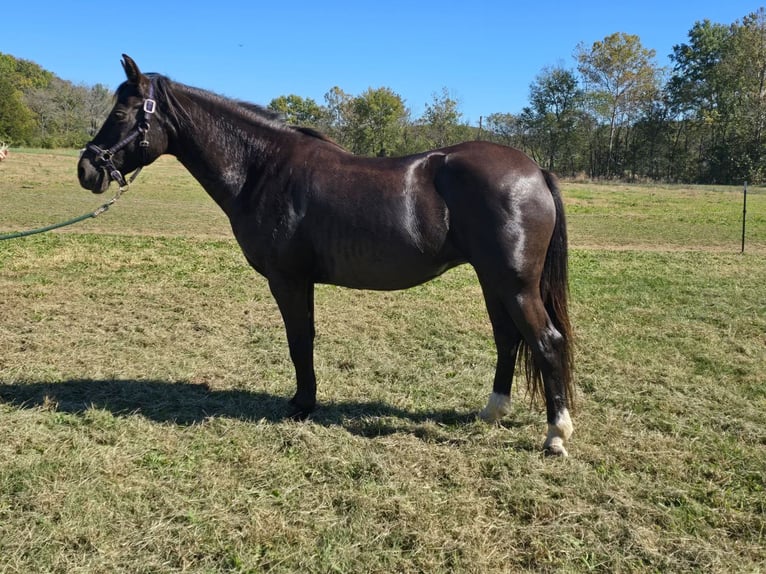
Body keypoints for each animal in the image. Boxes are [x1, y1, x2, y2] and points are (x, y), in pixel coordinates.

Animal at [81, 56, 580, 456]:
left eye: (122, 111)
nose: (87, 169)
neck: (261, 168)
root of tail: (534, 170)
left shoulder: (287, 279)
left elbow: (298, 339)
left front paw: (301, 405)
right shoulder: (302, 280)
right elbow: (307, 338)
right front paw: (307, 401)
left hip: (515, 285)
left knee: (546, 341)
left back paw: (555, 436)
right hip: (494, 281)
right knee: (508, 339)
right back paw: (492, 412)